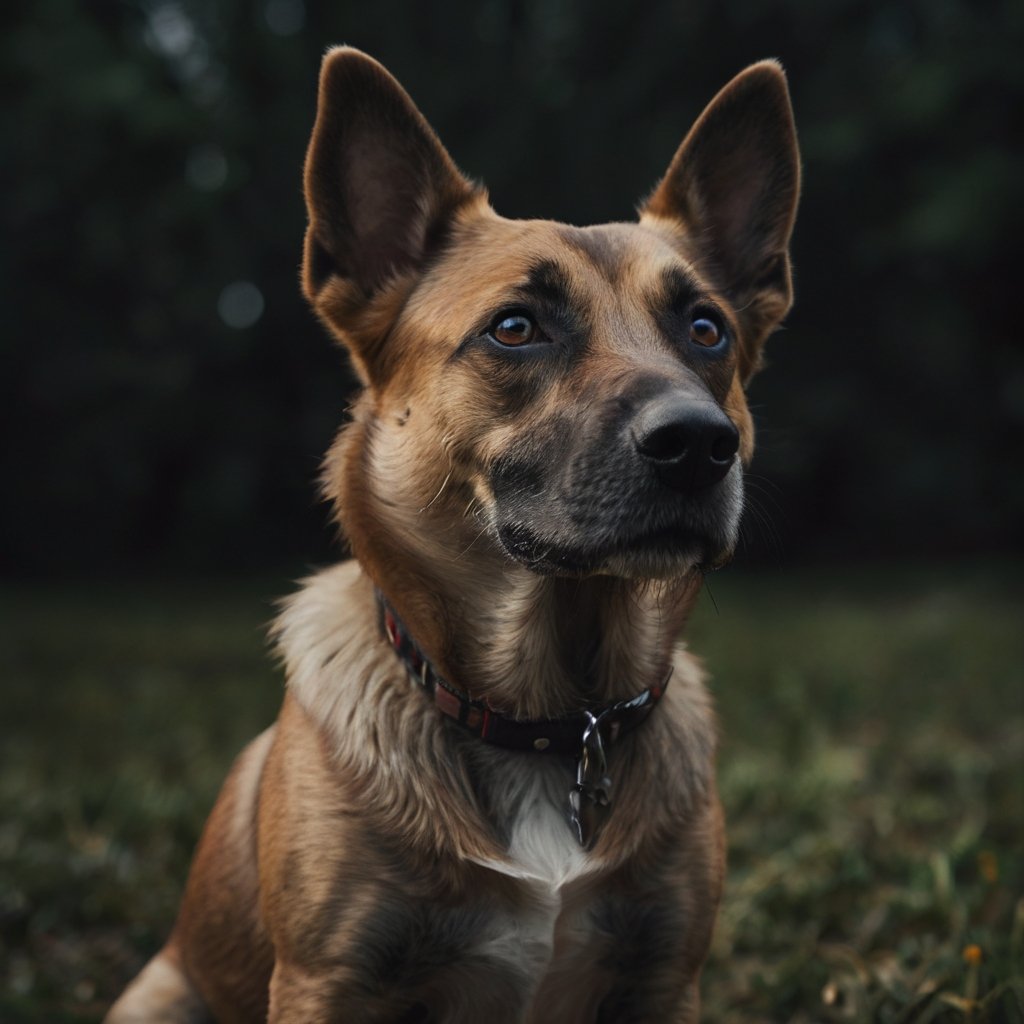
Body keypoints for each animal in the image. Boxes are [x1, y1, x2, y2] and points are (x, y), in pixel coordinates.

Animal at [108, 44, 802, 1019]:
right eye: (515, 328)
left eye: (706, 329)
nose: (700, 444)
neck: (551, 724)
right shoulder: (327, 981)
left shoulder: (664, 979)